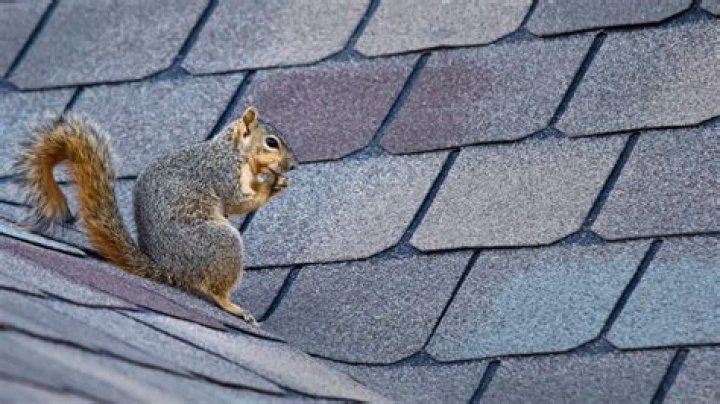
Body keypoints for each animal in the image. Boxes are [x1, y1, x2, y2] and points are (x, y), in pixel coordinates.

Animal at [14, 107, 297, 325]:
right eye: (272, 142)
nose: (293, 165)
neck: (233, 150)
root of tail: (169, 270)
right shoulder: (222, 173)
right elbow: (237, 202)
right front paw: (271, 185)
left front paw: (276, 180)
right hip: (220, 243)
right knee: (216, 291)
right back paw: (233, 306)